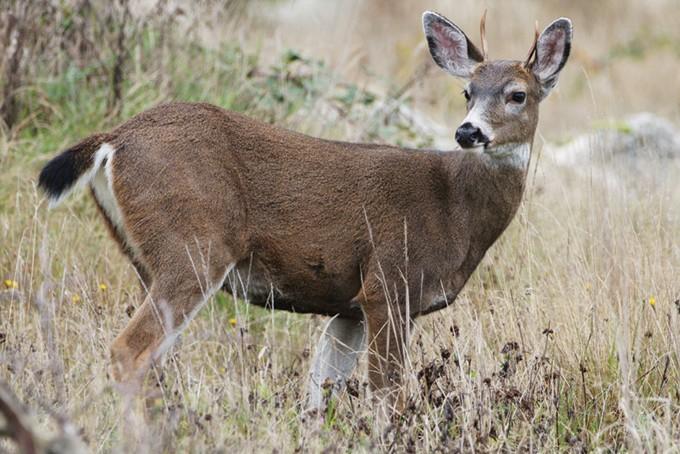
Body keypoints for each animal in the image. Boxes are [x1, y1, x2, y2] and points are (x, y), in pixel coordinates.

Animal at [35, 12, 568, 412]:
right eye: (467, 93)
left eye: (517, 94)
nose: (467, 132)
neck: (453, 210)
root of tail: (113, 140)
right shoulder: (389, 283)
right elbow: (387, 396)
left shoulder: (350, 305)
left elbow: (319, 391)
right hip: (194, 247)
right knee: (129, 350)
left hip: (146, 259)